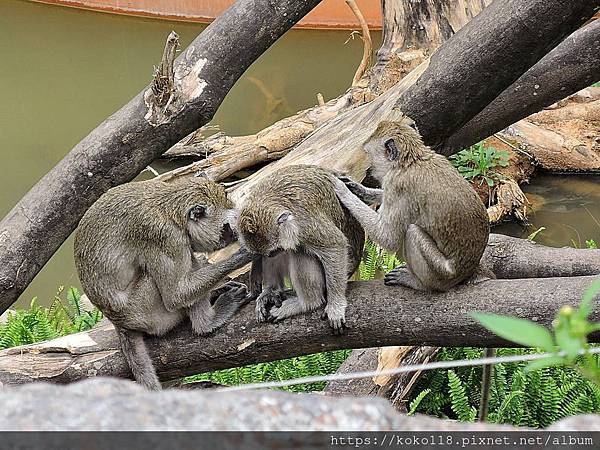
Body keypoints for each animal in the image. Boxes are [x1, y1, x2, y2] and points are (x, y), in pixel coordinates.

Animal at [74, 177, 254, 390]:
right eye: (226, 228)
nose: (231, 238)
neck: (170, 210)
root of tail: (119, 323)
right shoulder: (166, 238)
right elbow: (176, 296)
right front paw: (246, 253)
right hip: (149, 314)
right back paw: (207, 323)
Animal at [234, 165, 366, 334]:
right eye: (270, 252)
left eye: (275, 250)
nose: (271, 254)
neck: (269, 198)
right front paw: (265, 290)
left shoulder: (305, 225)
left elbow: (335, 245)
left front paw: (336, 306)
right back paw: (272, 291)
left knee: (300, 252)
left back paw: (307, 303)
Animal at [332, 116, 492, 292]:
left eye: (368, 155)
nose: (370, 170)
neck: (411, 160)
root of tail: (467, 270)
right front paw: (357, 188)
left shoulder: (397, 184)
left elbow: (388, 237)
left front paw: (342, 190)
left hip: (441, 274)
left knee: (412, 232)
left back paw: (418, 284)